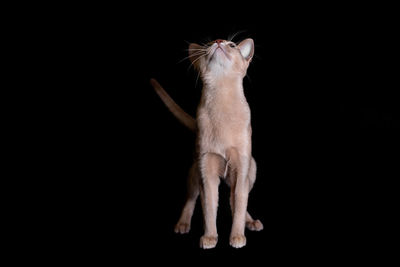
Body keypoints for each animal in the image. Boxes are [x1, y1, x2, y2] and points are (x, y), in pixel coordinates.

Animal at [150, 37, 262, 249]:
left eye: (232, 45)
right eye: (209, 44)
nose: (218, 41)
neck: (222, 99)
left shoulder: (242, 168)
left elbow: (239, 202)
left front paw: (237, 236)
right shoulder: (206, 168)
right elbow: (209, 206)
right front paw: (209, 237)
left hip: (251, 169)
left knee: (235, 200)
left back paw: (250, 222)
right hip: (195, 172)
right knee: (192, 198)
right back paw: (183, 224)